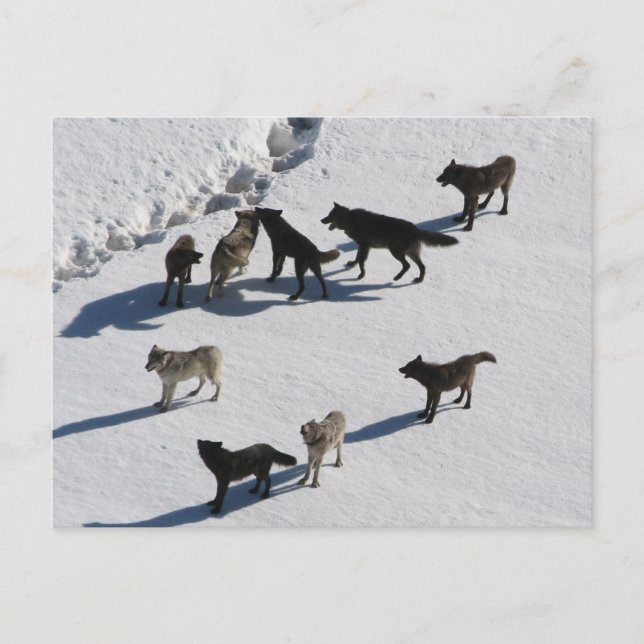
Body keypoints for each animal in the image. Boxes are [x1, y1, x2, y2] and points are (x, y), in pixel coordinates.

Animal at [321, 202, 458, 282]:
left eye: (329, 216)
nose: (321, 220)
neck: (350, 219)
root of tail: (415, 229)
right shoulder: (361, 246)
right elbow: (357, 257)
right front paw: (352, 264)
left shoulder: (365, 246)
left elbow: (361, 261)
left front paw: (361, 275)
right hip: (411, 253)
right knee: (422, 266)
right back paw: (419, 280)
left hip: (395, 251)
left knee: (407, 265)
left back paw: (397, 278)